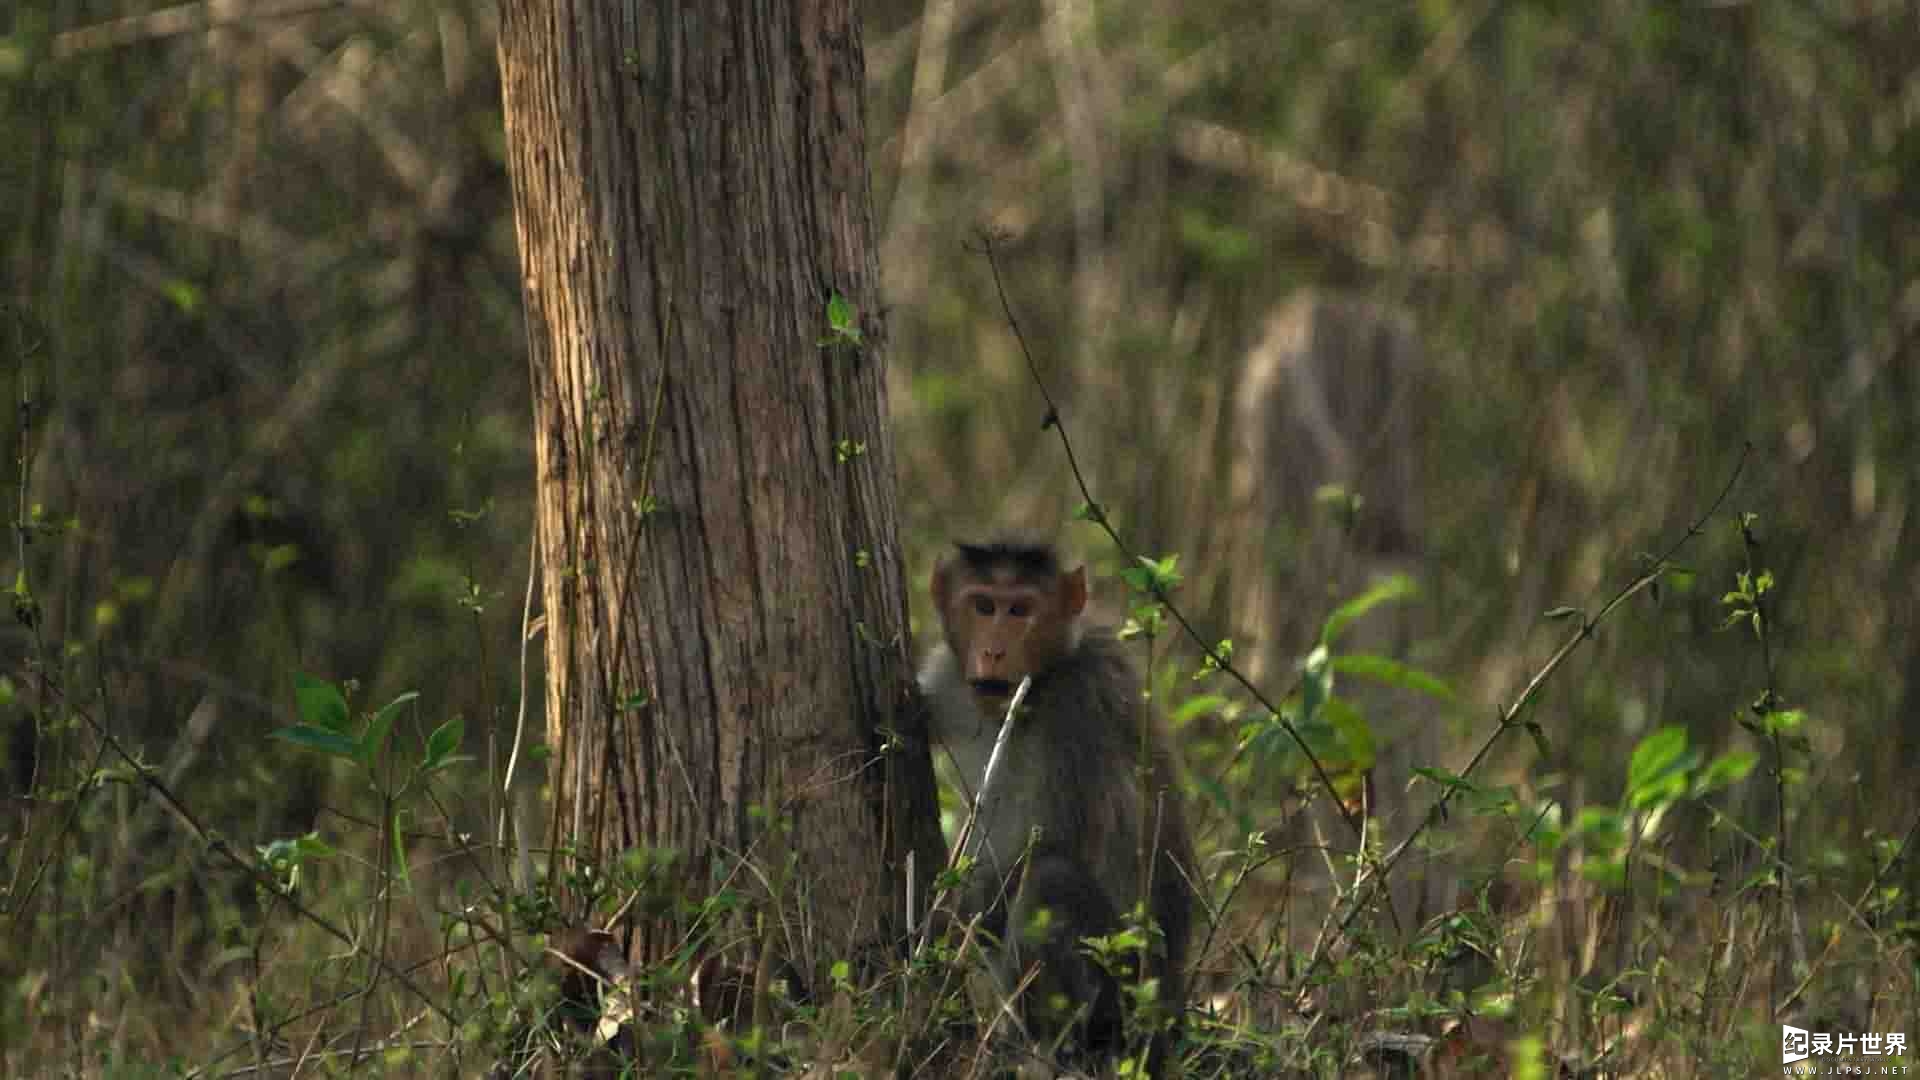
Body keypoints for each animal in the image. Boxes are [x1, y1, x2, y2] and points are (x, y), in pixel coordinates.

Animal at [921, 534, 1190, 1068]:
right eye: (984, 606)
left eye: (1021, 610)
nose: (994, 650)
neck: (1037, 688)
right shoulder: (946, 677)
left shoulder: (1081, 703)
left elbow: (1057, 838)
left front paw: (950, 912)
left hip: (1122, 992)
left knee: (1051, 878)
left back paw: (1051, 1051)